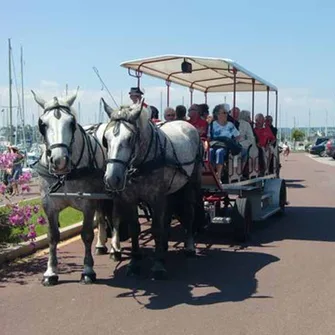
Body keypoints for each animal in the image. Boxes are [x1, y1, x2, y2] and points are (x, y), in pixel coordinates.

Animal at [101, 100, 205, 280]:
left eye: (130, 138)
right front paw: (134, 263)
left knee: (189, 212)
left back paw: (189, 246)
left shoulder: (157, 197)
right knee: (169, 213)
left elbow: (156, 228)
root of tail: (186, 123)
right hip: (171, 190)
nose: (112, 178)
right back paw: (164, 245)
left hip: (191, 183)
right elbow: (134, 228)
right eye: (106, 139)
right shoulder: (130, 198)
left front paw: (158, 266)